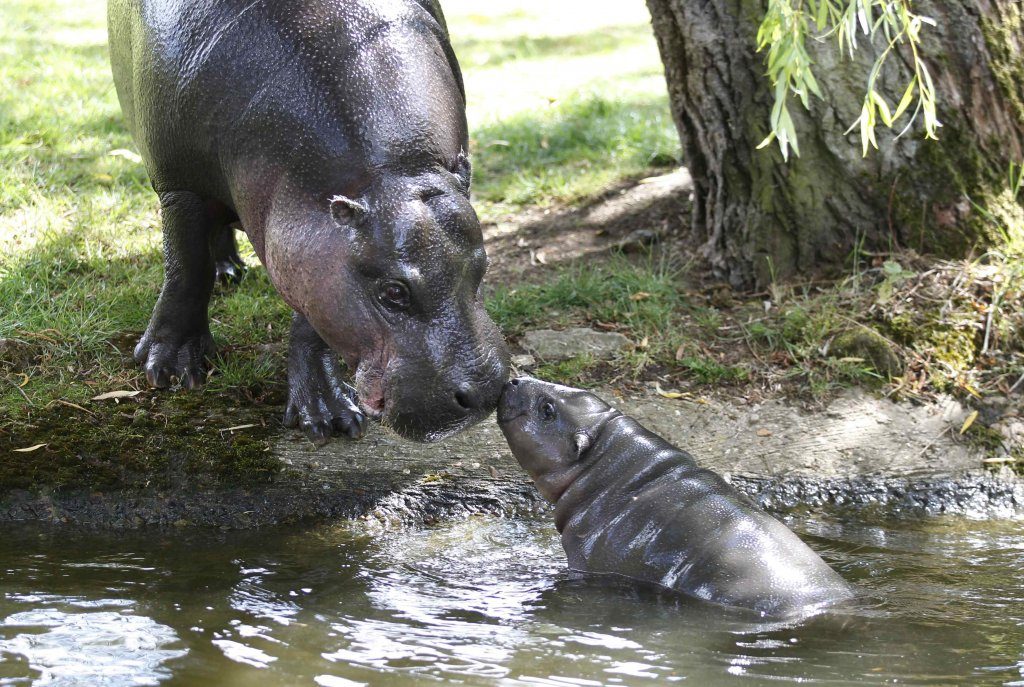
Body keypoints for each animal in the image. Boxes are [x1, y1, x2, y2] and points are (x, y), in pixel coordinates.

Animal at [108, 0, 507, 440]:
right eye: (393, 292)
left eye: (483, 267)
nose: (485, 393)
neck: (395, 171)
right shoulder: (181, 185)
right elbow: (186, 270)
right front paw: (171, 371)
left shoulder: (315, 242)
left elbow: (311, 308)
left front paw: (330, 417)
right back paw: (224, 276)